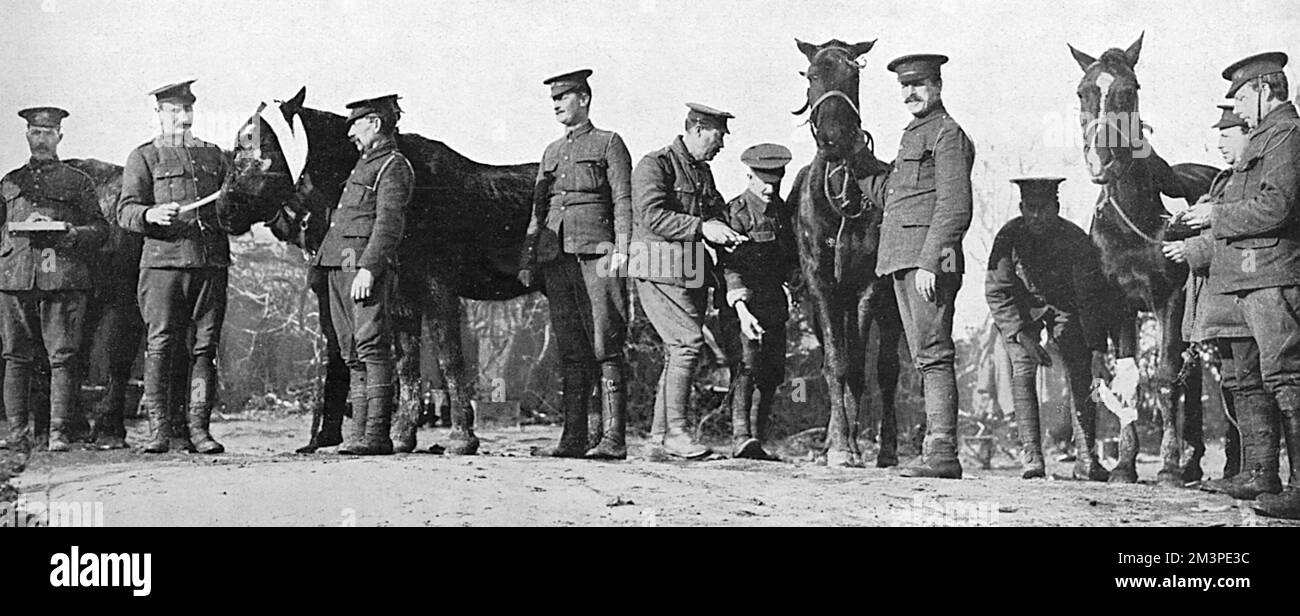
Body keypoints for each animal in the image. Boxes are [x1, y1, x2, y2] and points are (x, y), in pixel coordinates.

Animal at [220, 87, 535, 452]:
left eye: (252, 143)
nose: (223, 210)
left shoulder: (439, 288)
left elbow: (449, 359)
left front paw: (461, 437)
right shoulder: (402, 296)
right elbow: (407, 362)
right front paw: (401, 436)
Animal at [790, 38, 904, 467]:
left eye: (853, 74)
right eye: (811, 75)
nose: (835, 137)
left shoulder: (867, 286)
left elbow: (857, 365)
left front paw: (851, 444)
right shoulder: (820, 285)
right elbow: (834, 363)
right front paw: (837, 443)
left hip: (892, 308)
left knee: (888, 371)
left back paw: (887, 449)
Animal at [1066, 34, 1216, 486]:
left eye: (1129, 89)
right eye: (1083, 91)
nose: (1100, 161)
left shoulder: (1171, 299)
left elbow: (1166, 376)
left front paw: (1166, 465)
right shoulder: (1119, 305)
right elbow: (1127, 377)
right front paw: (1124, 465)